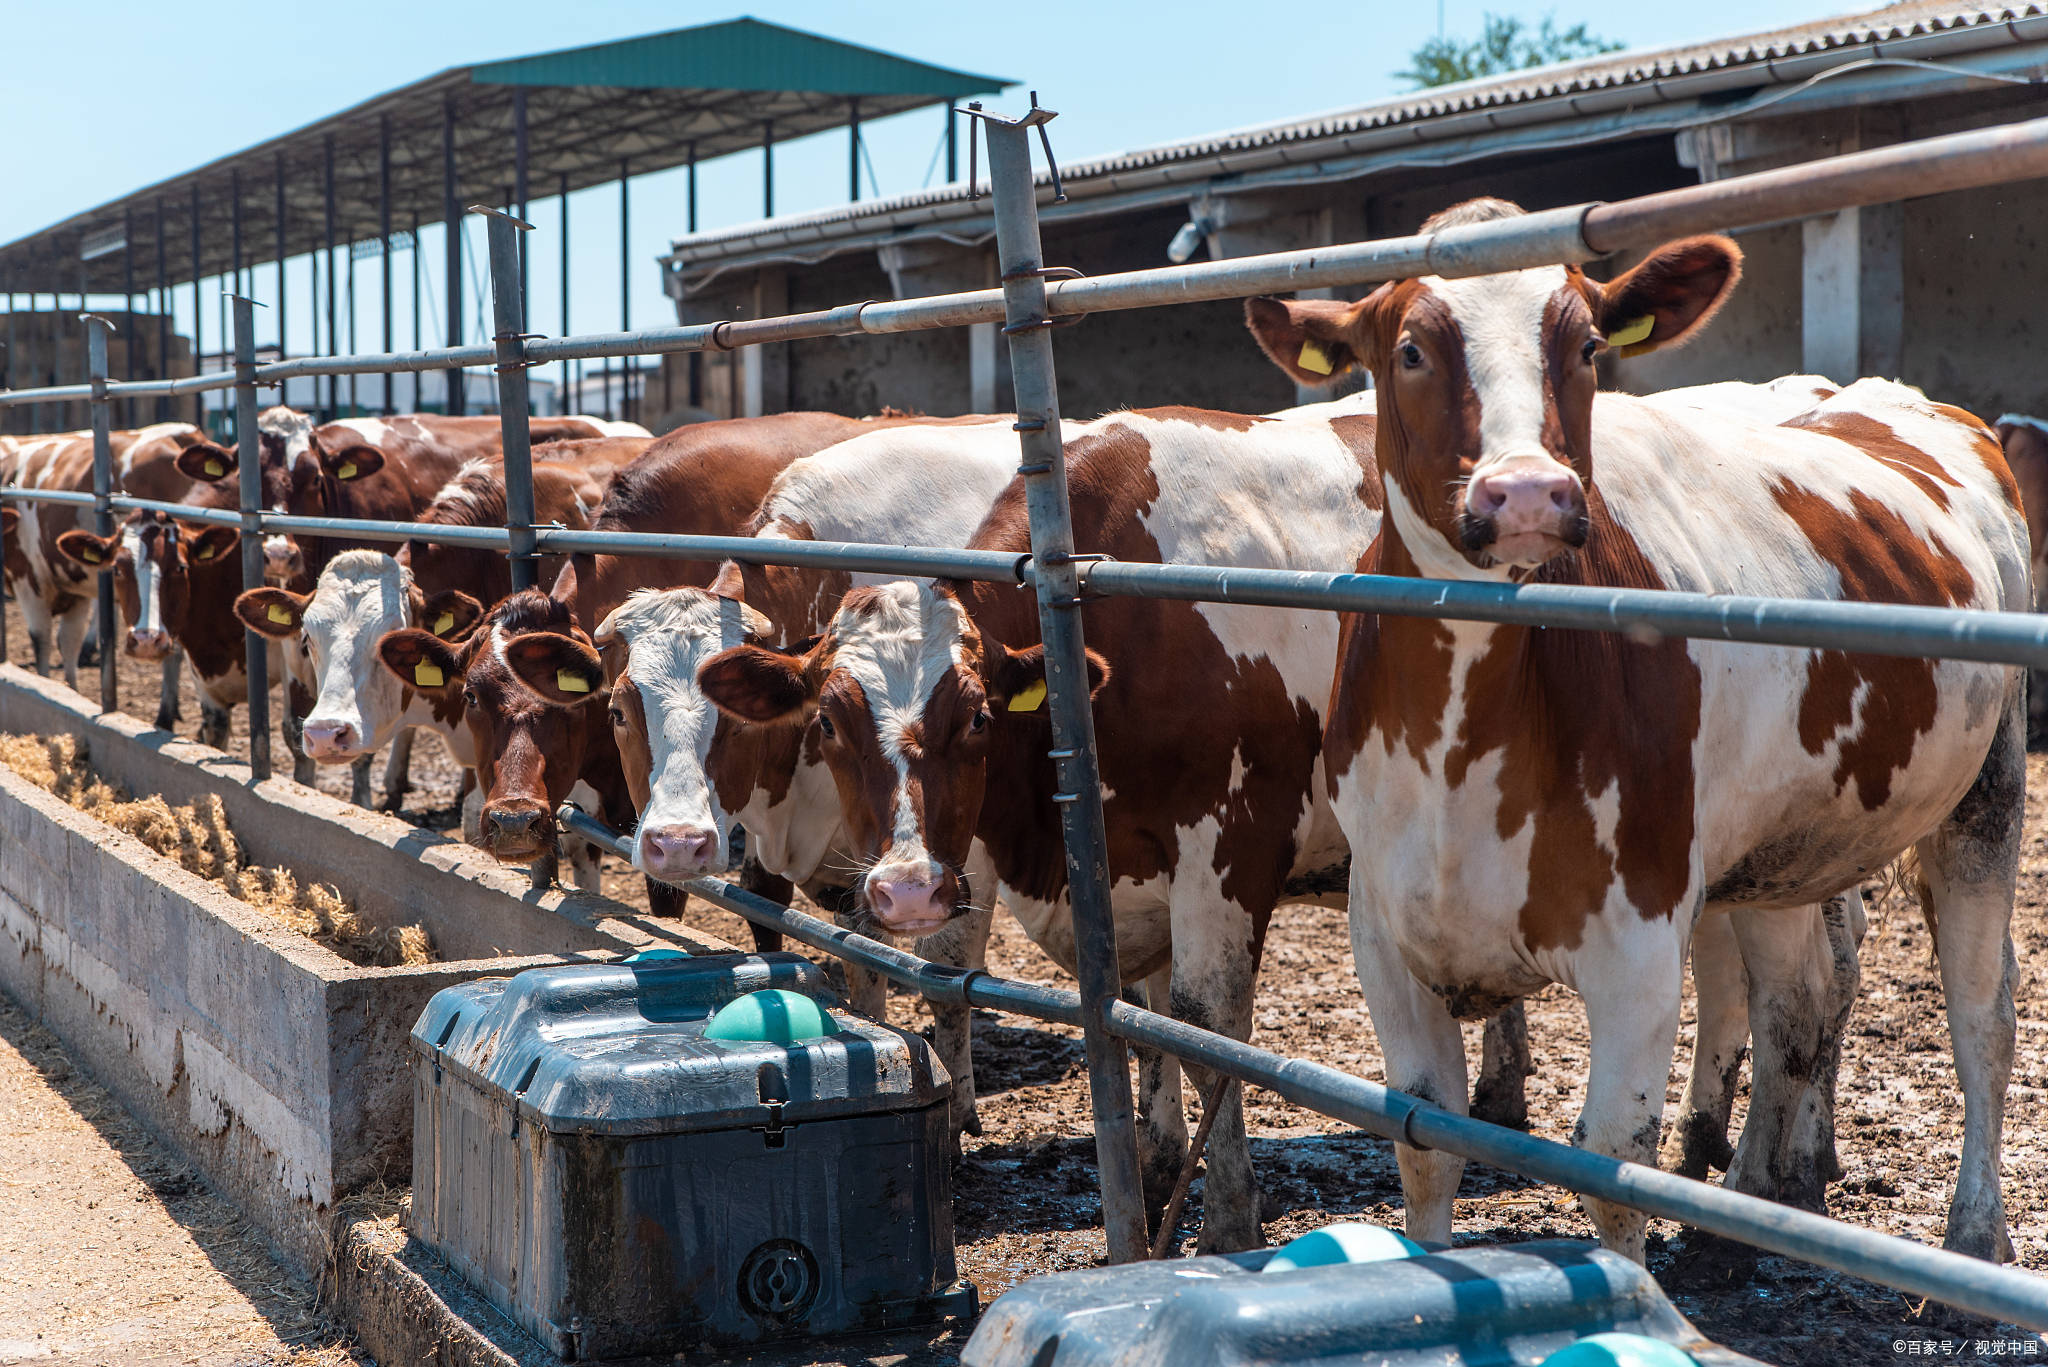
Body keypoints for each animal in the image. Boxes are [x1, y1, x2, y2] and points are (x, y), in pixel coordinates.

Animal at [1236, 194, 2023, 1262]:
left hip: (1989, 790)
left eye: (1588, 344)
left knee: (1981, 1012)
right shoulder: (1385, 932)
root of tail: (1892, 397)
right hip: (1783, 846)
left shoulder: (1639, 939)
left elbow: (1612, 1161)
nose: (1528, 493)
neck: (1461, 741)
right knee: (1799, 996)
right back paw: (1759, 1192)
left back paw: (1973, 1230)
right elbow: (1426, 1139)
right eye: (1409, 348)